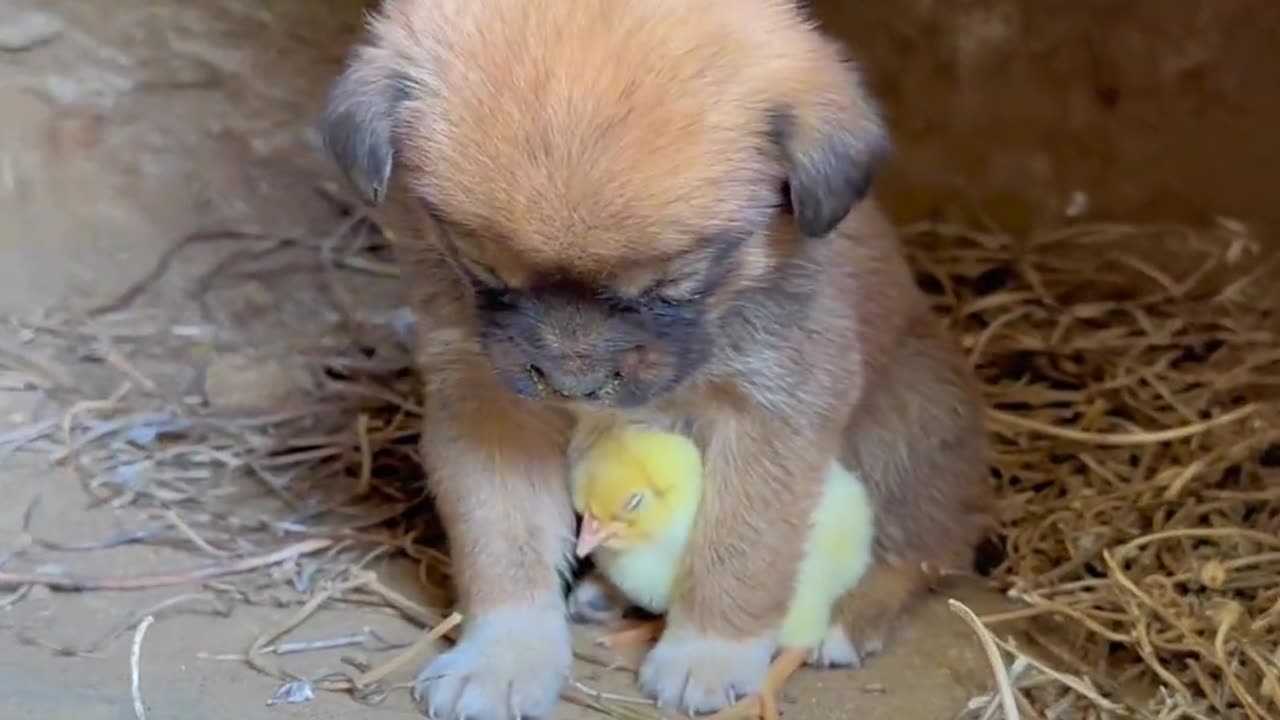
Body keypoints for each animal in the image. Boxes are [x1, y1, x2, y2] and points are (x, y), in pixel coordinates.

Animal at [317, 2, 988, 712]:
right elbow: (502, 545)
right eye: (479, 266)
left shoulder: (773, 413)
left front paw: (708, 654)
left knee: (929, 546)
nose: (572, 383)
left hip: (908, 423)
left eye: (676, 283)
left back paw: (846, 618)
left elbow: (739, 551)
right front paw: (503, 660)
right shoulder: (486, 405)